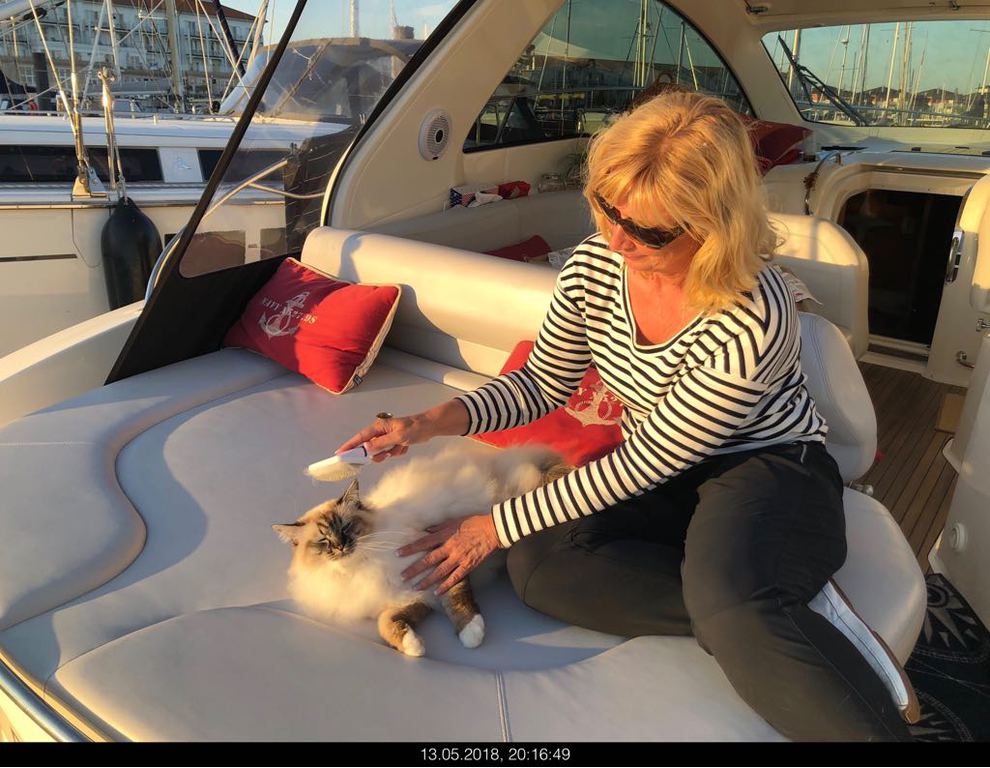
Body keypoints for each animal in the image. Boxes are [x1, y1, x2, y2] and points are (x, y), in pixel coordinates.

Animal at [273, 442, 571, 656]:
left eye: (346, 528)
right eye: (323, 541)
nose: (340, 546)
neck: (362, 567)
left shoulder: (439, 562)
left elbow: (458, 602)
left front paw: (472, 635)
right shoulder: (409, 597)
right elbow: (387, 624)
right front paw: (413, 647)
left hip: (528, 483)